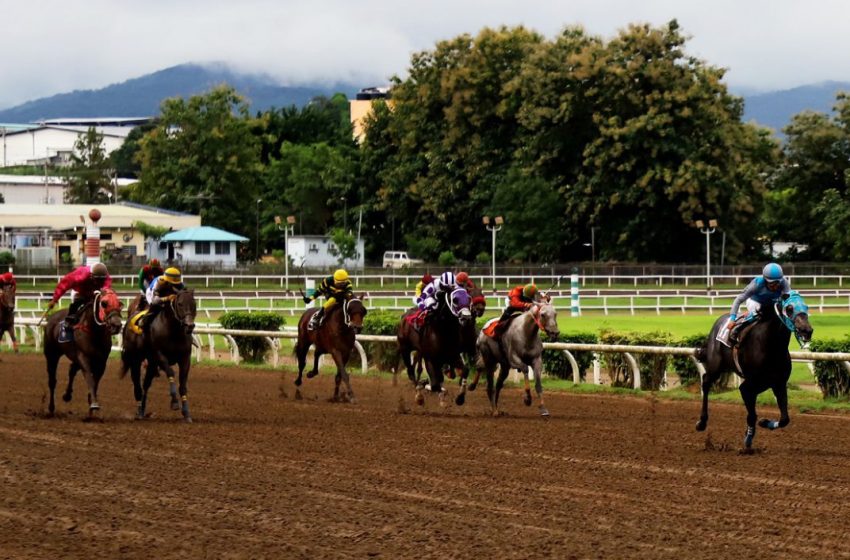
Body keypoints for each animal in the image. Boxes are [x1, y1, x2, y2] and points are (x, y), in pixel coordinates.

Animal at [44, 290, 122, 418]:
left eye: (120, 304)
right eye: (104, 303)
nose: (117, 325)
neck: (94, 332)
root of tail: (52, 317)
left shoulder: (101, 362)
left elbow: (95, 383)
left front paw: (91, 411)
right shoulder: (83, 357)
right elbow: (90, 379)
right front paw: (94, 405)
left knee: (71, 370)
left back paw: (67, 395)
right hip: (52, 354)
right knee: (52, 381)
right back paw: (51, 408)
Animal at [121, 288, 197, 420]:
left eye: (194, 304)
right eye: (180, 304)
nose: (189, 326)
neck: (174, 332)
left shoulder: (185, 359)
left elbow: (183, 386)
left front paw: (186, 413)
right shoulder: (160, 356)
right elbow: (171, 372)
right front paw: (174, 402)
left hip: (151, 364)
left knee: (145, 384)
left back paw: (142, 410)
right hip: (135, 359)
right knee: (137, 385)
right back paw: (139, 411)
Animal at [696, 290, 816, 448]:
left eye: (806, 307)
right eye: (789, 309)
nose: (807, 330)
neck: (771, 346)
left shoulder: (778, 383)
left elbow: (784, 419)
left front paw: (764, 422)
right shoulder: (749, 386)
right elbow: (752, 413)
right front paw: (748, 438)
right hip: (715, 366)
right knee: (705, 382)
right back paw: (702, 422)